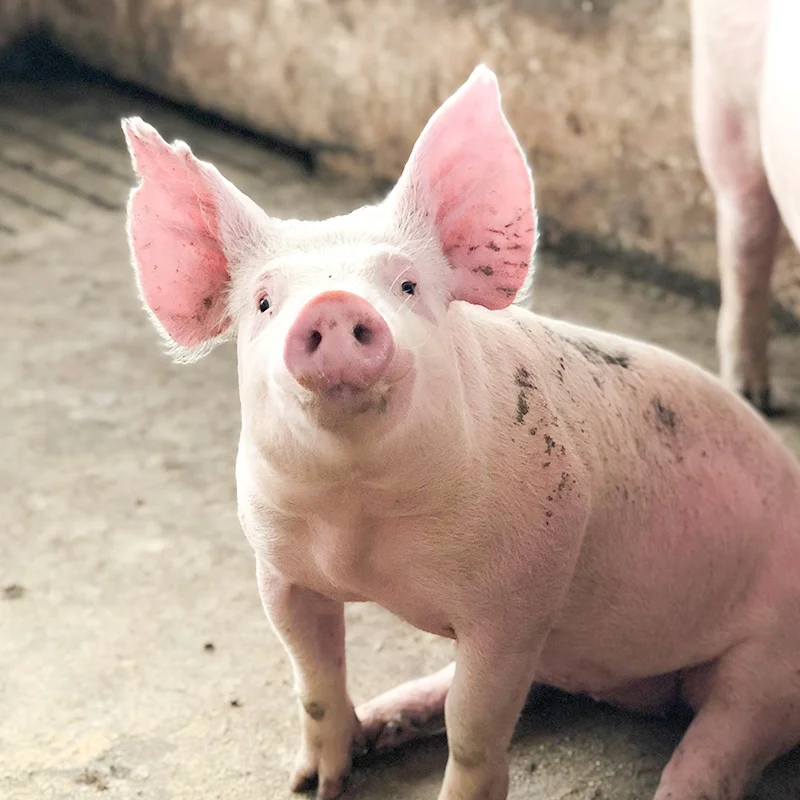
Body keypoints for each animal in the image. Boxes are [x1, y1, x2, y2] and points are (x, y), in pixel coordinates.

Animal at [122, 66, 800, 800]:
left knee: (724, 734)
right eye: (265, 302)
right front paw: (312, 784)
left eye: (408, 285)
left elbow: (473, 724)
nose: (332, 305)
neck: (359, 519)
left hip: (772, 659)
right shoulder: (277, 567)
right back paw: (379, 722)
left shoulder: (519, 597)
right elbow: (314, 678)